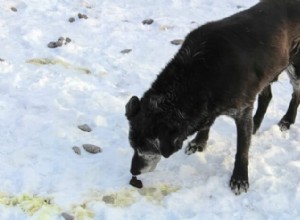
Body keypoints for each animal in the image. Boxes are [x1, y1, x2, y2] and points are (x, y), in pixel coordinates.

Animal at [125, 0, 300, 195]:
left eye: (145, 149)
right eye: (132, 146)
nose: (133, 170)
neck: (200, 73)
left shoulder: (242, 111)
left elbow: (242, 150)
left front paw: (239, 178)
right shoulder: (210, 106)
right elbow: (206, 124)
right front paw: (199, 142)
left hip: (295, 67)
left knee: (296, 94)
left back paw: (287, 120)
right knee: (267, 97)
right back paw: (256, 125)